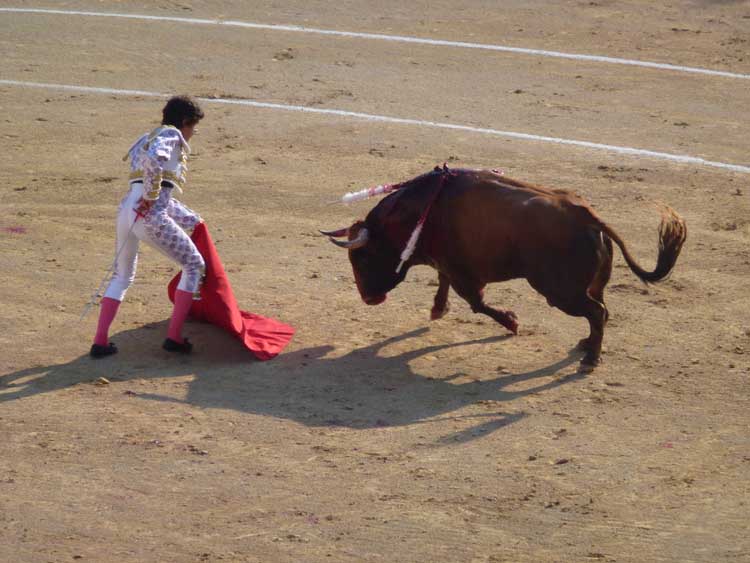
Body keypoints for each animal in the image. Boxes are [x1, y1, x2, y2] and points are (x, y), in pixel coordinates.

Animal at [324, 166, 688, 370]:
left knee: (596, 312)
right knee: (602, 310)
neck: (422, 211)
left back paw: (590, 359)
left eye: (363, 258)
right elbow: (444, 282)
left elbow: (477, 303)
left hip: (560, 292)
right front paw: (438, 310)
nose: (368, 298)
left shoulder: (464, 274)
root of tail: (584, 213)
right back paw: (586, 345)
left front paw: (511, 322)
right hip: (590, 284)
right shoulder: (450, 264)